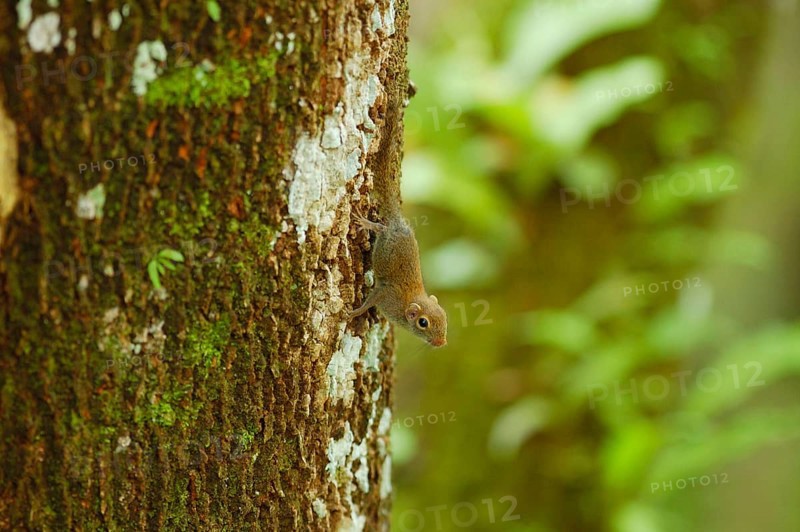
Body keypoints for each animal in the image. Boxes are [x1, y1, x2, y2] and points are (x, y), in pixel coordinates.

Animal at [348, 88, 447, 348]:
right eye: (423, 323)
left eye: (445, 318)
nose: (441, 342)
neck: (405, 307)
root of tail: (399, 223)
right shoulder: (385, 295)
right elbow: (370, 301)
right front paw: (354, 313)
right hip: (385, 238)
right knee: (380, 228)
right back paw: (366, 223)